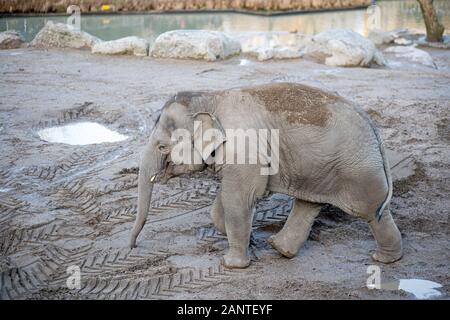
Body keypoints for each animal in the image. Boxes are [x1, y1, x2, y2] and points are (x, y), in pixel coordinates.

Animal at [128, 82, 402, 268]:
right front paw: (250, 242)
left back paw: (384, 259)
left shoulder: (244, 149)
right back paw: (279, 249)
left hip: (357, 169)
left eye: (162, 147)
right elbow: (223, 204)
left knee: (371, 211)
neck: (211, 98)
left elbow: (239, 198)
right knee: (309, 203)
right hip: (323, 168)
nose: (132, 247)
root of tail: (373, 128)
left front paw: (232, 264)